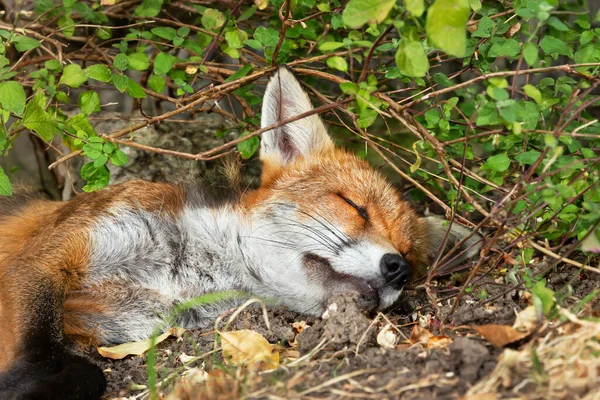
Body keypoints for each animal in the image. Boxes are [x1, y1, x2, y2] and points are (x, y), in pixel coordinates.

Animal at [0, 67, 480, 398]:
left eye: (409, 252)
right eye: (354, 207)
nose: (398, 269)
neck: (180, 273)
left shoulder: (124, 323)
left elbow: (86, 370)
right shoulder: (47, 256)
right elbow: (48, 353)